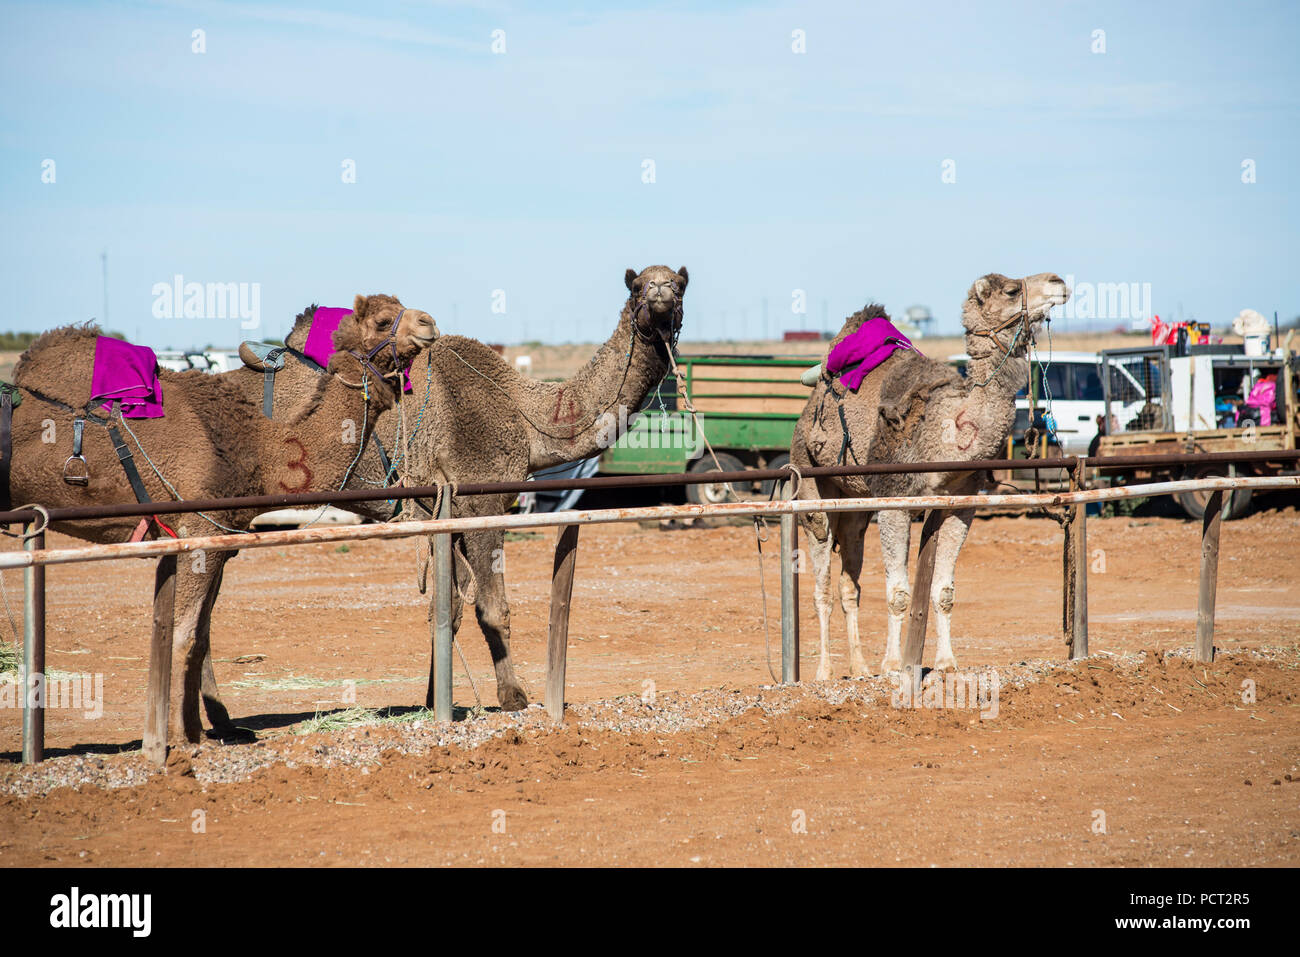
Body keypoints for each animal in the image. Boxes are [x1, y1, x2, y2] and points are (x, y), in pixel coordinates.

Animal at [5, 297, 441, 738]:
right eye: (384, 320)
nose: (430, 322)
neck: (258, 446)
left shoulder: (206, 536)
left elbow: (196, 633)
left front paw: (206, 729)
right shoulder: (200, 529)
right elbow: (186, 633)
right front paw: (182, 738)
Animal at [790, 270, 1066, 681]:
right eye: (1011, 290)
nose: (1059, 282)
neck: (947, 428)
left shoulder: (959, 504)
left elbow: (944, 591)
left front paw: (947, 661)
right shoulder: (895, 500)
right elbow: (898, 593)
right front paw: (892, 664)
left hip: (856, 507)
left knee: (849, 582)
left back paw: (858, 666)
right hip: (811, 483)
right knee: (821, 575)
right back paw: (824, 670)